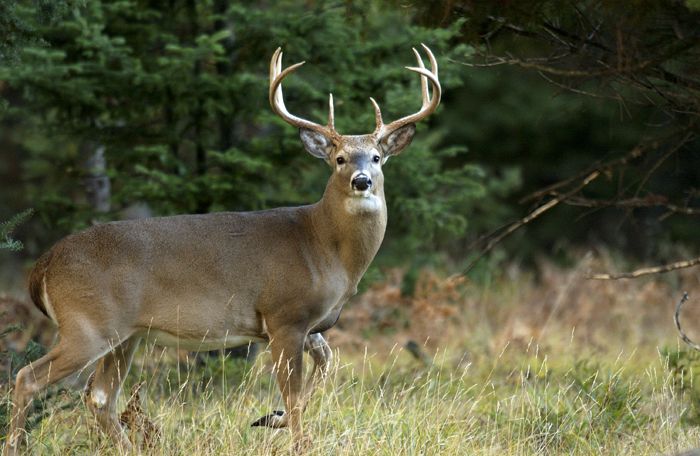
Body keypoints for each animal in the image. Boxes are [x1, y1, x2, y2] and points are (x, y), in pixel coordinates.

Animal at [5, 44, 440, 454]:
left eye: (378, 157)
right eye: (339, 158)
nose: (362, 180)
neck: (324, 248)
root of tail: (44, 266)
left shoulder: (310, 325)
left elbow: (325, 365)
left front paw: (271, 418)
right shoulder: (284, 314)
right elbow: (294, 395)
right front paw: (292, 435)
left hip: (126, 335)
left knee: (98, 396)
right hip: (88, 325)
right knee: (28, 377)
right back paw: (15, 445)